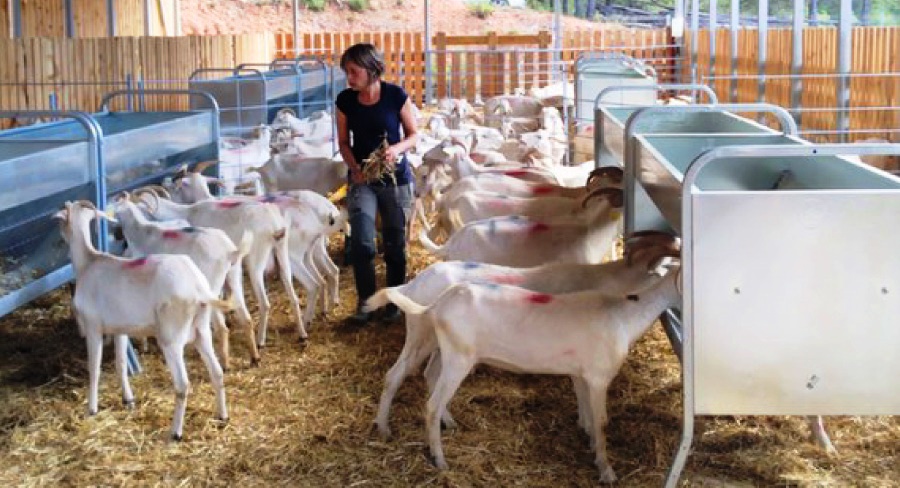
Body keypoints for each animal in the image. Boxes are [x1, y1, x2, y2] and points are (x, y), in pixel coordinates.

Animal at [54, 200, 230, 440]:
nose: (60, 237)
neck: (88, 263)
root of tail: (198, 288)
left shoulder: (93, 327)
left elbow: (94, 368)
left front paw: (92, 408)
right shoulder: (119, 329)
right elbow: (120, 363)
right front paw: (128, 400)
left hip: (171, 338)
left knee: (183, 384)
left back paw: (175, 433)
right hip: (201, 330)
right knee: (217, 372)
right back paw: (222, 416)